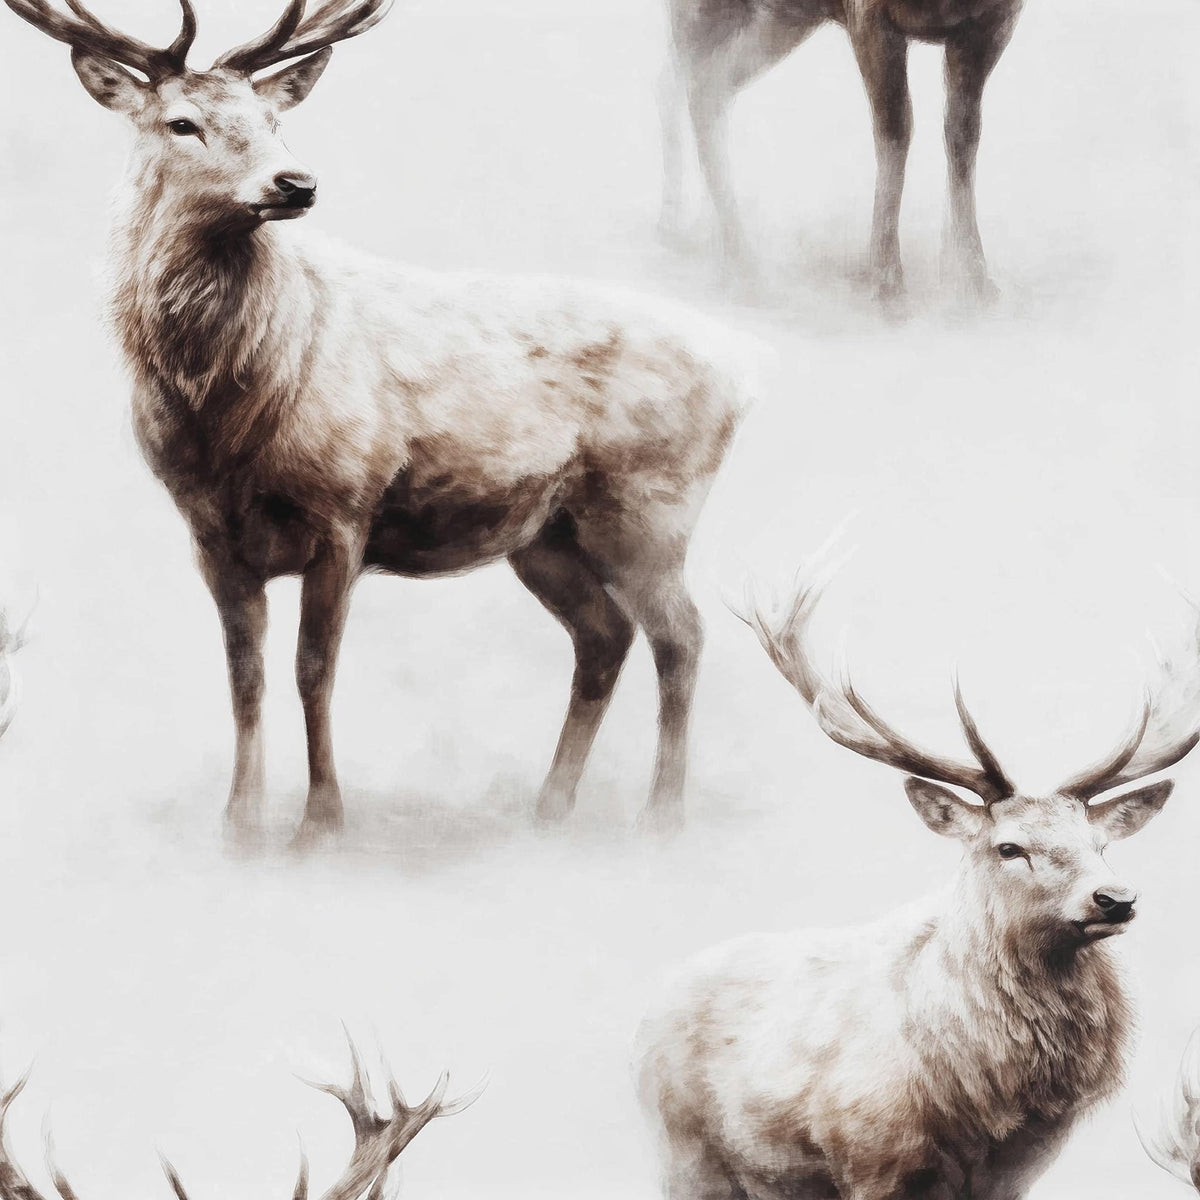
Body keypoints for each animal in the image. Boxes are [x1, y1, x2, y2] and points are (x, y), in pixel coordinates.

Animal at [2, 0, 751, 847]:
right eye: (182, 122)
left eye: (274, 118)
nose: (296, 182)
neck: (229, 420)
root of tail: (742, 375)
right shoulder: (209, 531)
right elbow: (244, 674)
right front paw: (239, 826)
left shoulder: (345, 507)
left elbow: (313, 668)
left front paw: (319, 825)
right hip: (544, 536)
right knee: (603, 635)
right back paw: (550, 808)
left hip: (649, 507)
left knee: (682, 635)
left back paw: (662, 816)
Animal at [637, 568, 1200, 1199]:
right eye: (1010, 847)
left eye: (1100, 845)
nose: (1116, 899)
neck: (982, 1102)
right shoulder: (868, 1153)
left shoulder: (1019, 1168)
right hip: (686, 1149)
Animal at [659, 0, 1025, 302]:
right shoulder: (870, 19)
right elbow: (894, 129)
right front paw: (886, 281)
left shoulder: (989, 24)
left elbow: (963, 133)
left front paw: (971, 279)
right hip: (708, 12)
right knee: (687, 83)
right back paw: (712, 246)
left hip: (782, 21)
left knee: (702, 84)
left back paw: (715, 243)